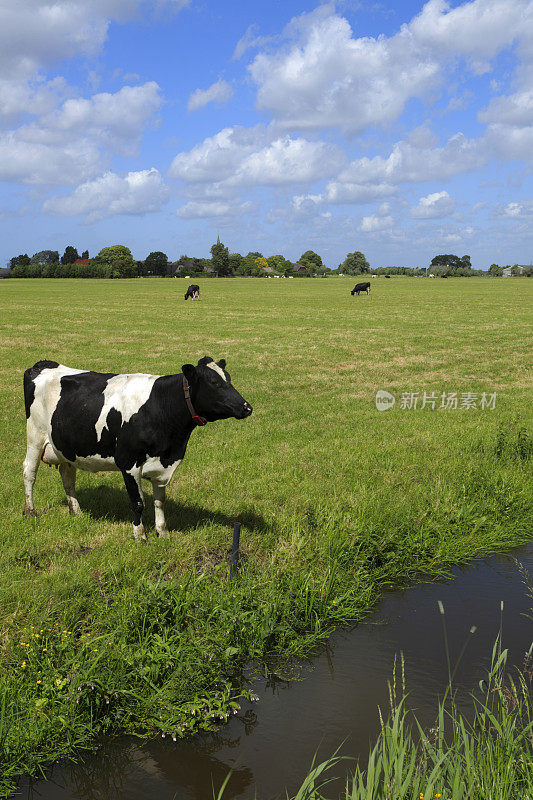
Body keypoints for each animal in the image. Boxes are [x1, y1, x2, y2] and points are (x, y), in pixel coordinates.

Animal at [22, 354, 251, 536]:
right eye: (214, 382)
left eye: (228, 379)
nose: (247, 407)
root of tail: (43, 364)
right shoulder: (128, 462)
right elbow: (138, 501)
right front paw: (140, 534)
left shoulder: (163, 464)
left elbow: (160, 500)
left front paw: (162, 531)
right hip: (35, 435)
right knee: (29, 472)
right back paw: (30, 511)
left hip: (64, 446)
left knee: (68, 476)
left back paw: (76, 512)